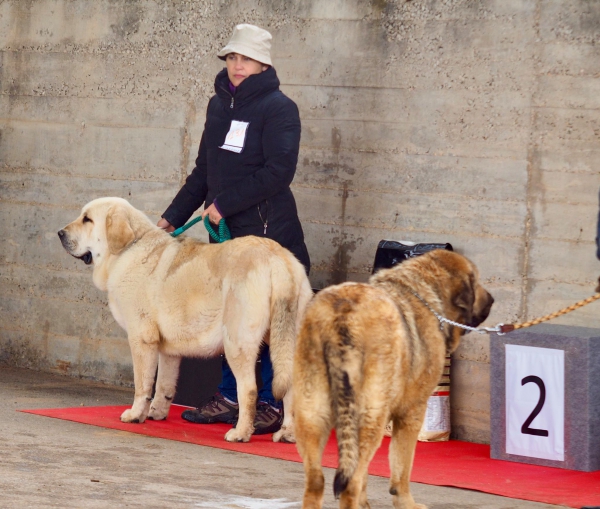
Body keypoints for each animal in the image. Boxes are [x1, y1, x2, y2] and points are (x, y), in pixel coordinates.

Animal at [292, 250, 494, 508]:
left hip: (312, 413)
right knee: (349, 485)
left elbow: (368, 474)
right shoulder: (412, 412)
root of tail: (343, 315)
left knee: (316, 481)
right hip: (368, 418)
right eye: (476, 280)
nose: (492, 300)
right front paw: (406, 502)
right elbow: (402, 467)